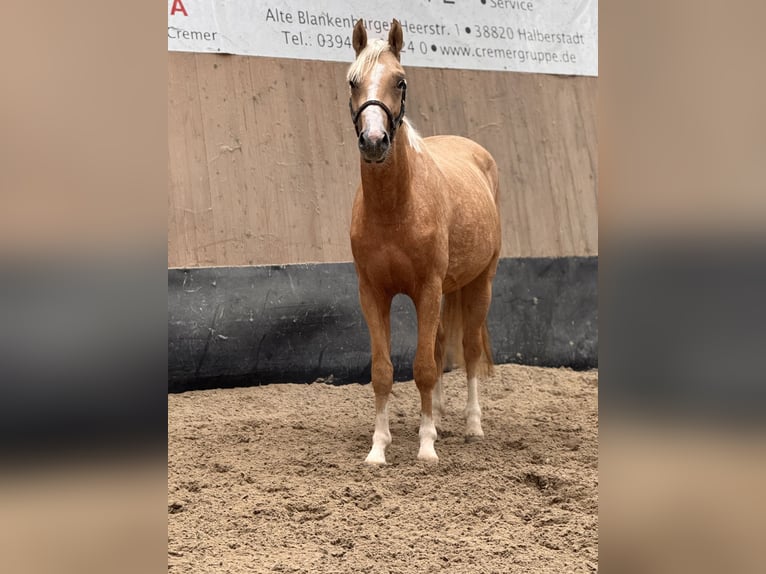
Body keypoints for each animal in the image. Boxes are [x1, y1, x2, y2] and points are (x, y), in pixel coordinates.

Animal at [348, 19, 504, 468]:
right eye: (353, 81)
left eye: (400, 81)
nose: (374, 141)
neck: (396, 208)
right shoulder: (373, 293)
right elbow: (384, 371)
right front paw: (378, 447)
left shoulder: (428, 289)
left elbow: (424, 368)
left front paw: (426, 446)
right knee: (436, 348)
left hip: (480, 285)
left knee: (468, 350)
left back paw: (472, 425)